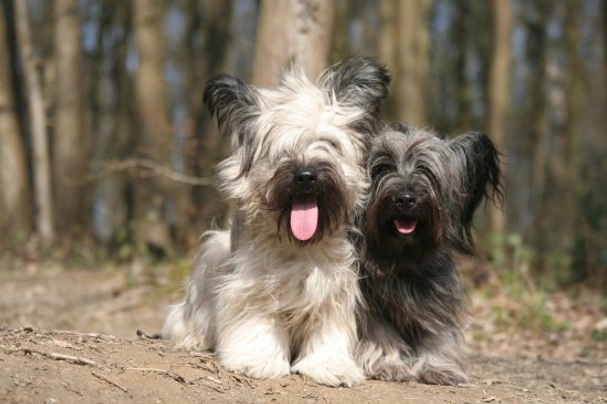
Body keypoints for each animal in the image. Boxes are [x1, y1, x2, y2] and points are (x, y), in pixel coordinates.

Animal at [163, 57, 390, 388]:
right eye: (277, 149)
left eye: (328, 143)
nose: (306, 176)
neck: (298, 245)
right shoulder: (251, 285)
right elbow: (256, 320)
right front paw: (257, 359)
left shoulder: (334, 286)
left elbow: (328, 326)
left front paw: (330, 365)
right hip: (212, 253)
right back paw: (194, 338)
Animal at [356, 123, 504, 386]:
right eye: (383, 167)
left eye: (424, 169)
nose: (405, 199)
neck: (401, 259)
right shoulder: (368, 304)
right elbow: (379, 333)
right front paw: (389, 364)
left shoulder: (433, 299)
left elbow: (435, 334)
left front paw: (439, 367)